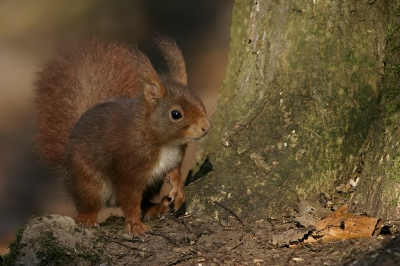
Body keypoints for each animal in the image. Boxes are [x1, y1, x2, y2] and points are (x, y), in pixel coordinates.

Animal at [34, 36, 211, 236]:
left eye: (199, 101)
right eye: (175, 114)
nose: (206, 127)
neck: (162, 143)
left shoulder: (174, 158)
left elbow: (174, 173)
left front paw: (179, 190)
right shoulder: (128, 170)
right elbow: (129, 199)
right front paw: (135, 225)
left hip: (152, 184)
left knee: (143, 202)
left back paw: (156, 208)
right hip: (87, 180)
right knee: (88, 203)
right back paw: (87, 218)